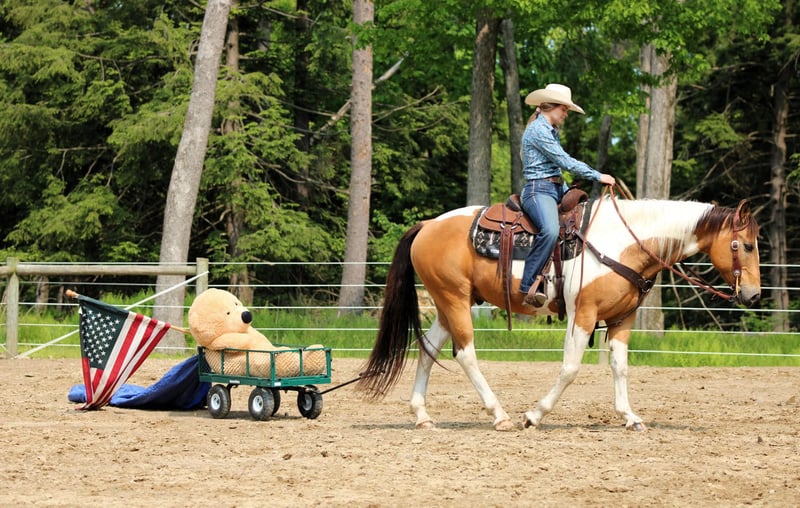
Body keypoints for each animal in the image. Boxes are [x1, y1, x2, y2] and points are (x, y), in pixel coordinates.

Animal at [356, 190, 761, 431]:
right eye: (746, 245)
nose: (754, 294)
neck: (624, 242)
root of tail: (427, 225)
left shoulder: (622, 318)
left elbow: (620, 366)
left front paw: (630, 417)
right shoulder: (583, 314)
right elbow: (570, 368)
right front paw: (534, 415)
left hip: (448, 303)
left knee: (428, 349)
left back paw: (423, 416)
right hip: (454, 300)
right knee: (465, 354)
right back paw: (500, 415)